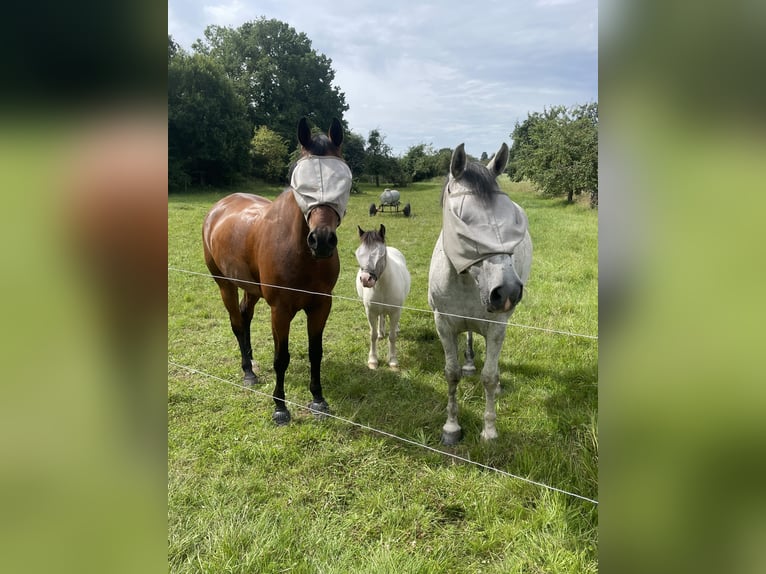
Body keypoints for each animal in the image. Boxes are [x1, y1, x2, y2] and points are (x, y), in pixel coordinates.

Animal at [202, 117, 352, 425]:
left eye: (342, 182)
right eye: (302, 185)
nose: (321, 240)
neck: (301, 253)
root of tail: (219, 207)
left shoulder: (321, 305)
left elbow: (315, 352)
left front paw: (318, 400)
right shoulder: (280, 310)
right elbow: (281, 357)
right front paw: (280, 407)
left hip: (250, 288)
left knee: (245, 316)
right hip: (224, 284)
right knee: (236, 322)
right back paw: (248, 372)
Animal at [355, 224, 412, 369]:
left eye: (381, 254)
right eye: (358, 253)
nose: (365, 279)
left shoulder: (395, 312)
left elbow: (392, 337)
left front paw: (393, 361)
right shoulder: (370, 312)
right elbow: (373, 335)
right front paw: (373, 360)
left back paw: (395, 329)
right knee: (381, 317)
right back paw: (381, 333)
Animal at [427, 142, 533, 444]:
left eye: (512, 221)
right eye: (462, 219)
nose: (507, 291)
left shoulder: (496, 326)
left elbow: (489, 376)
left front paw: (489, 430)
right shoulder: (444, 325)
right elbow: (451, 375)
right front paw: (451, 427)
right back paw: (470, 363)